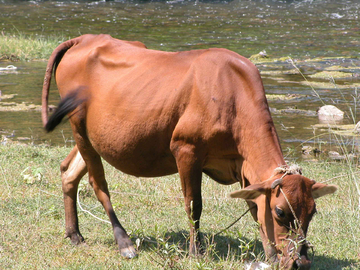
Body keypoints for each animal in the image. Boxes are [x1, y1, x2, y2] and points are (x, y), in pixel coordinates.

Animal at [42, 34, 338, 268]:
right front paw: (197, 251)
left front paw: (271, 256)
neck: (233, 93)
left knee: (69, 170)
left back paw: (74, 234)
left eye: (312, 212)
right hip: (78, 126)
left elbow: (255, 207)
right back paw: (124, 242)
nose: (301, 262)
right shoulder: (186, 149)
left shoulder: (242, 165)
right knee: (98, 183)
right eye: (280, 212)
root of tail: (84, 39)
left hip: (94, 137)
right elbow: (194, 205)